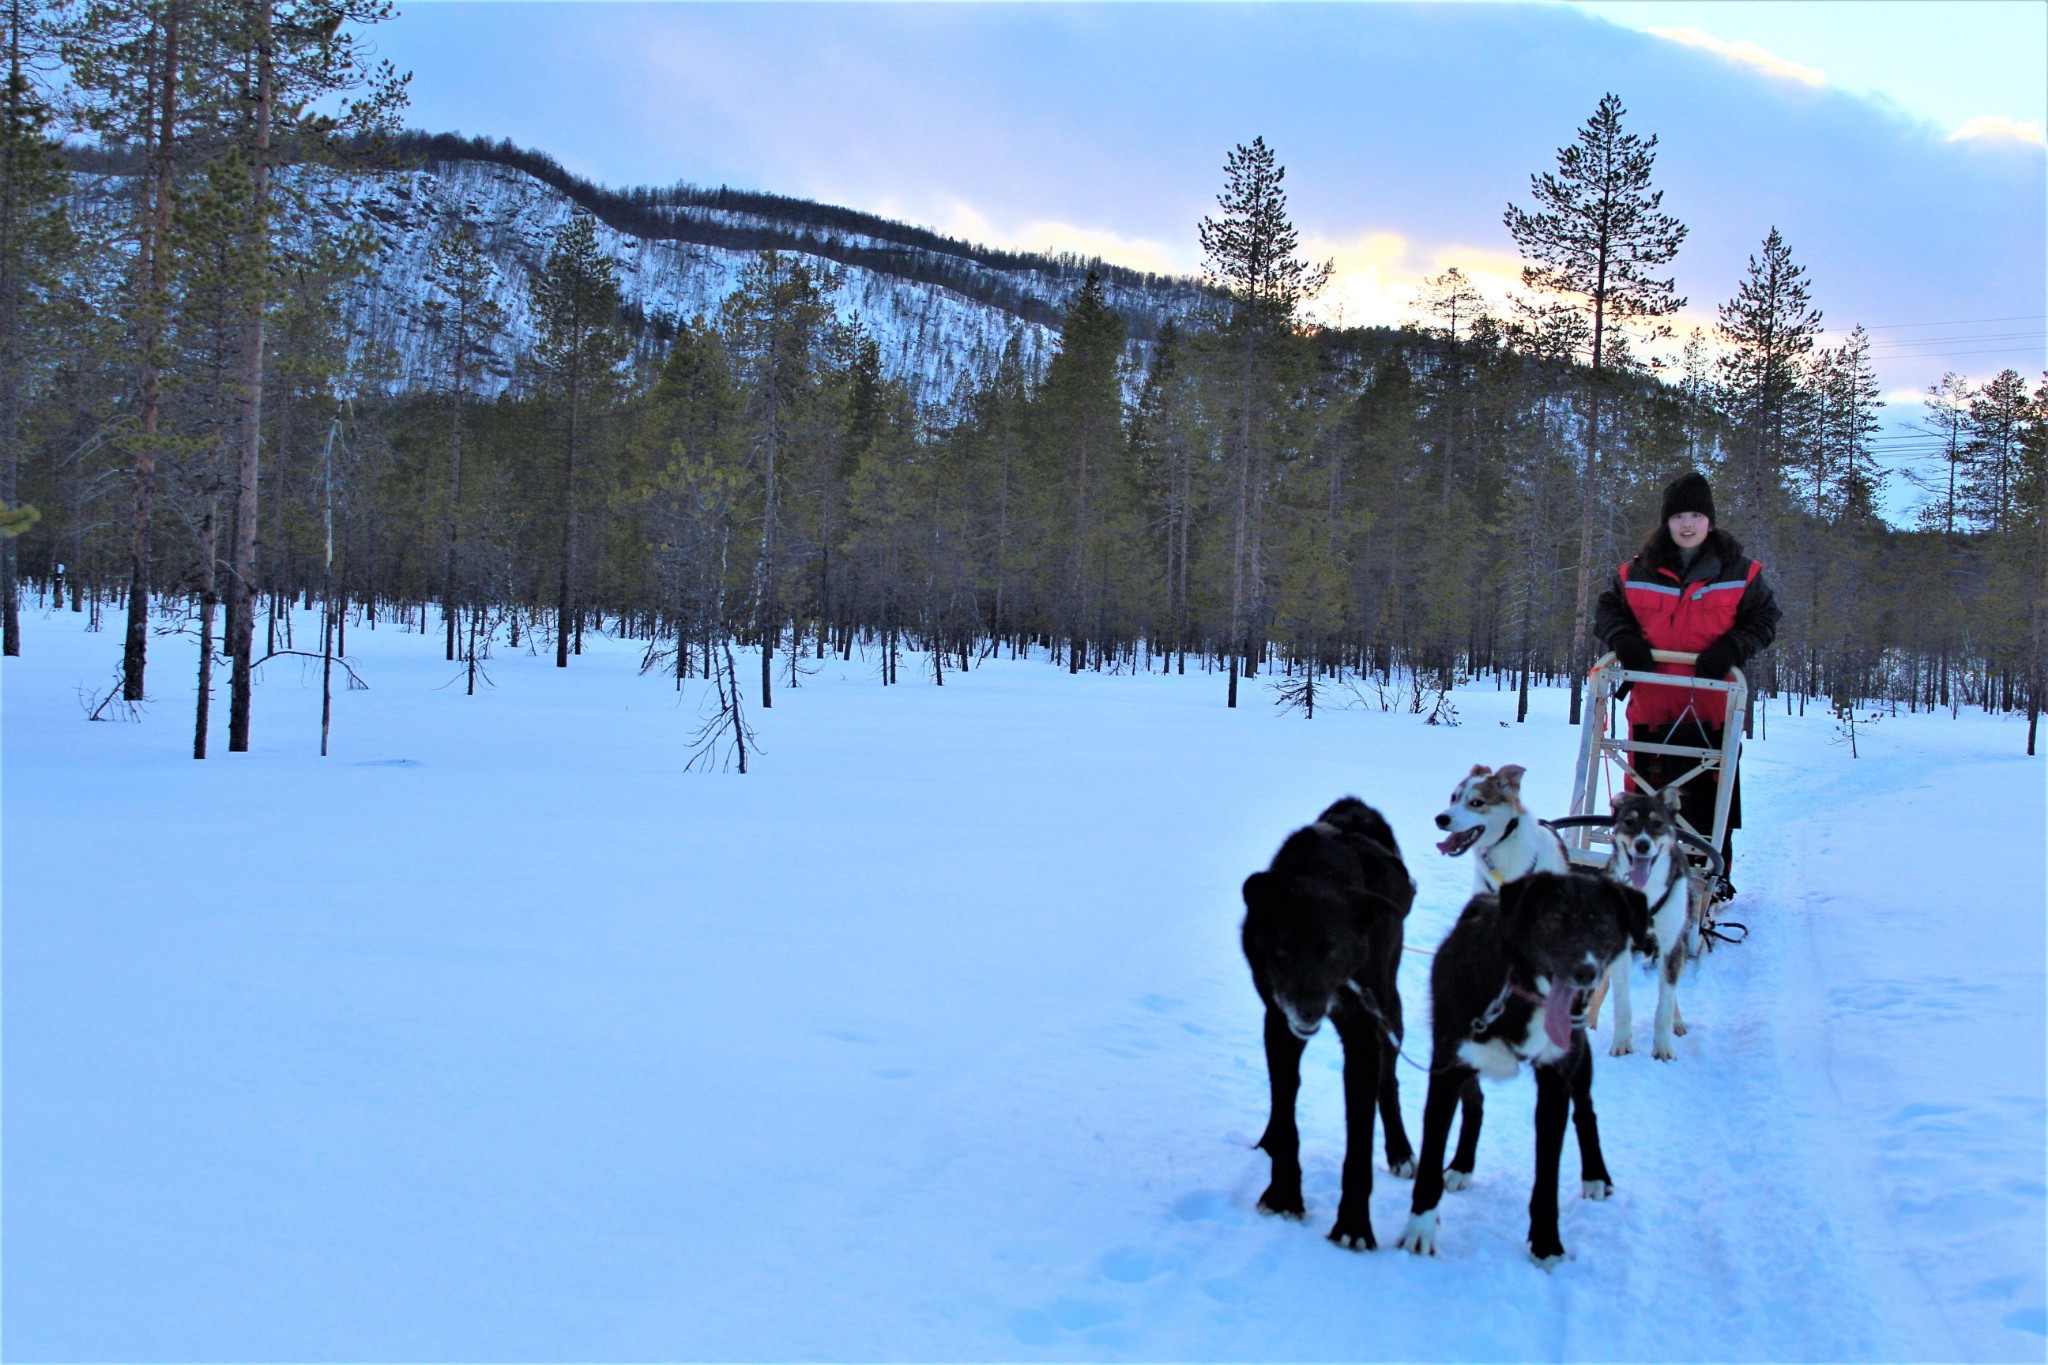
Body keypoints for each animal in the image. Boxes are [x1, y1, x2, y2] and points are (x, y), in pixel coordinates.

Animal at [1236, 794, 1417, 1252]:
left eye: (1333, 953)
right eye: (1281, 952)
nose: (1308, 1012)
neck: (1322, 873)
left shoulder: (1362, 1035)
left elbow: (1360, 1142)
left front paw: (1353, 1226)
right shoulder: (1277, 1024)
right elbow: (1286, 1115)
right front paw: (1283, 1195)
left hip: (1390, 1011)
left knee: (1389, 1081)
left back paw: (1401, 1151)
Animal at [1392, 871, 1646, 1268]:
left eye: (1604, 925)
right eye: (1554, 920)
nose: (1586, 972)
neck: (1516, 991)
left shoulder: (1555, 1084)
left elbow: (1548, 1174)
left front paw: (1546, 1243)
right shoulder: (1447, 1071)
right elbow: (1431, 1159)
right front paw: (1420, 1230)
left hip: (1579, 1061)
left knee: (1586, 1110)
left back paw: (1595, 1174)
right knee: (1476, 1105)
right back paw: (1462, 1165)